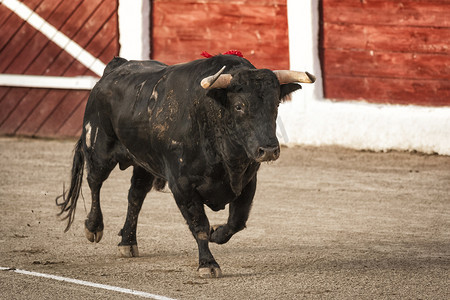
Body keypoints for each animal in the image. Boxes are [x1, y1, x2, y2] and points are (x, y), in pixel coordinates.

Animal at [56, 55, 314, 278]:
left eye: (276, 105)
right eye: (239, 106)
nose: (268, 150)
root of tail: (116, 67)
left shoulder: (247, 181)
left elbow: (236, 221)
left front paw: (217, 233)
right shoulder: (182, 186)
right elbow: (199, 225)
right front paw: (208, 264)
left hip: (143, 163)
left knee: (135, 196)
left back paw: (128, 241)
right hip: (98, 146)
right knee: (95, 181)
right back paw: (93, 227)